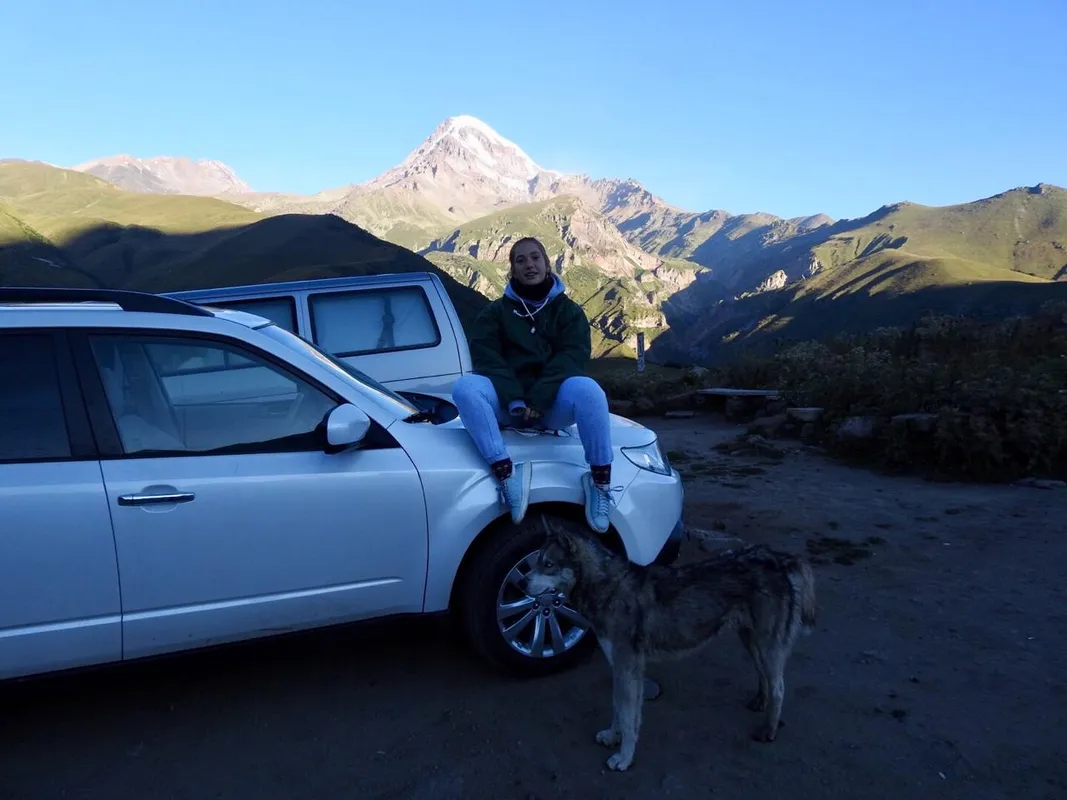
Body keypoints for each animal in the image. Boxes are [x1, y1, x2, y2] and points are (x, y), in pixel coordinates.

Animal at [521, 516, 817, 772]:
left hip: (767, 646)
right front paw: (612, 736)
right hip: (751, 641)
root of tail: (778, 558)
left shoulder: (627, 668)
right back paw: (759, 702)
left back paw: (769, 730)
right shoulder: (620, 668)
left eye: (548, 564)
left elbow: (628, 718)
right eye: (537, 562)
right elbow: (619, 710)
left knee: (779, 687)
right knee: (764, 676)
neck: (609, 588)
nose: (522, 583)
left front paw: (624, 758)